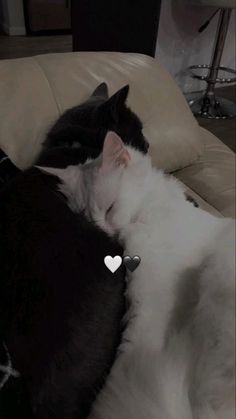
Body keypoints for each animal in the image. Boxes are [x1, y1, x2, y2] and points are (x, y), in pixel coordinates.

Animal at [38, 133, 234, 418]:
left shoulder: (151, 307)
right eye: (87, 218)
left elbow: (128, 357)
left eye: (109, 208)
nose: (104, 232)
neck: (154, 209)